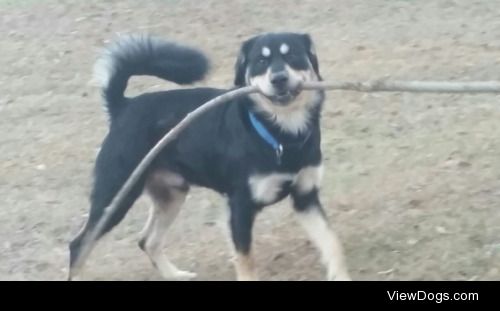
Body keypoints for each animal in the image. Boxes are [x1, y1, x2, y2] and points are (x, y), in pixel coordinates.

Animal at [69, 33, 352, 282]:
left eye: (292, 55)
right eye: (260, 61)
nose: (279, 78)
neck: (282, 135)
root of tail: (123, 106)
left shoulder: (305, 197)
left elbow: (332, 242)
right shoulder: (239, 207)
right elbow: (246, 260)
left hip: (171, 195)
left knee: (147, 241)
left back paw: (175, 275)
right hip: (117, 195)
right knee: (79, 244)